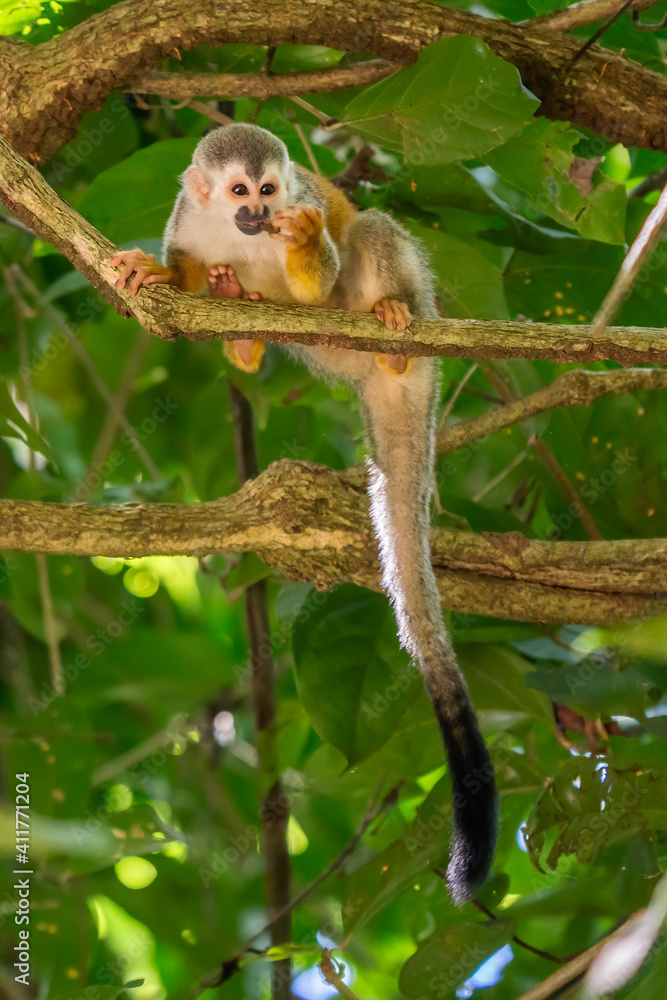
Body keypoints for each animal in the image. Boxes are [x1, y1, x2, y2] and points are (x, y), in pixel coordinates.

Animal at [109, 123, 498, 904]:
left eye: (270, 189)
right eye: (237, 191)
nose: (260, 215)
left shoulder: (305, 207)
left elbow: (317, 275)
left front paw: (305, 242)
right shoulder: (187, 217)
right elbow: (188, 278)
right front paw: (165, 279)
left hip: (393, 320)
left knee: (369, 235)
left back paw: (392, 321)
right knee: (257, 310)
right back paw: (243, 337)